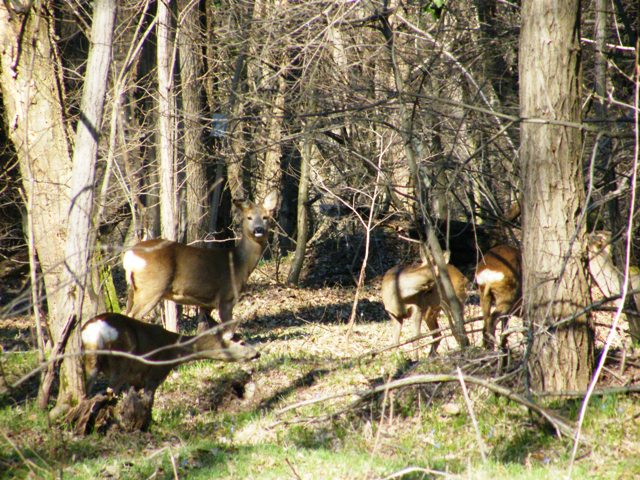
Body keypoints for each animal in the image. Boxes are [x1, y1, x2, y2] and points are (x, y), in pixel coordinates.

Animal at [122, 191, 278, 334]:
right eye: (249, 217)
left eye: (265, 217)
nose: (258, 229)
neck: (239, 263)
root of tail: (129, 255)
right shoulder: (226, 297)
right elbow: (229, 330)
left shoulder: (206, 304)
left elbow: (203, 329)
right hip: (151, 287)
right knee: (132, 315)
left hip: (134, 289)